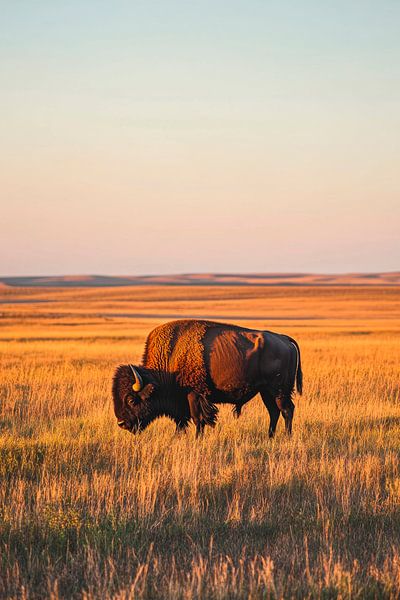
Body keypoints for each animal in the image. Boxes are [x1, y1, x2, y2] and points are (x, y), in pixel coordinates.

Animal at [111, 318, 302, 440]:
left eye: (131, 400)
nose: (121, 423)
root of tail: (284, 339)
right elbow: (184, 421)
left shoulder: (194, 395)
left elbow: (198, 418)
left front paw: (197, 439)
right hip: (266, 391)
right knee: (274, 411)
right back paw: (270, 437)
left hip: (279, 390)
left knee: (286, 410)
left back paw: (287, 437)